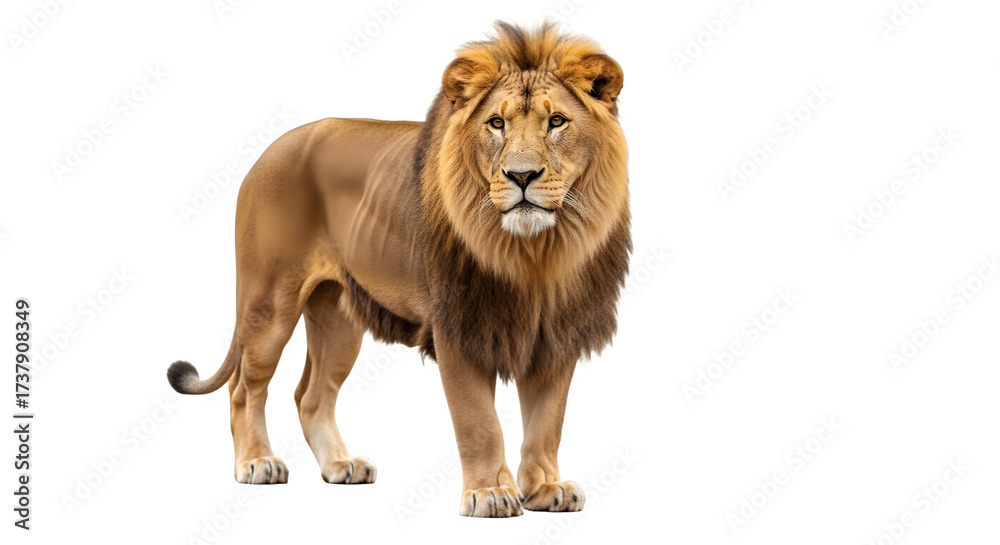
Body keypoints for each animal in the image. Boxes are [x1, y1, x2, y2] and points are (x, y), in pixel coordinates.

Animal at [167, 21, 630, 518]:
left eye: (557, 122)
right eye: (497, 123)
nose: (520, 176)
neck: (536, 253)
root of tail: (270, 149)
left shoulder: (557, 332)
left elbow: (548, 423)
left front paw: (546, 488)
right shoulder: (457, 325)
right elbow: (479, 422)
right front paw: (488, 493)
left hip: (337, 316)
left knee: (310, 395)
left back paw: (341, 465)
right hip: (269, 301)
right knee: (245, 386)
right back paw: (257, 463)